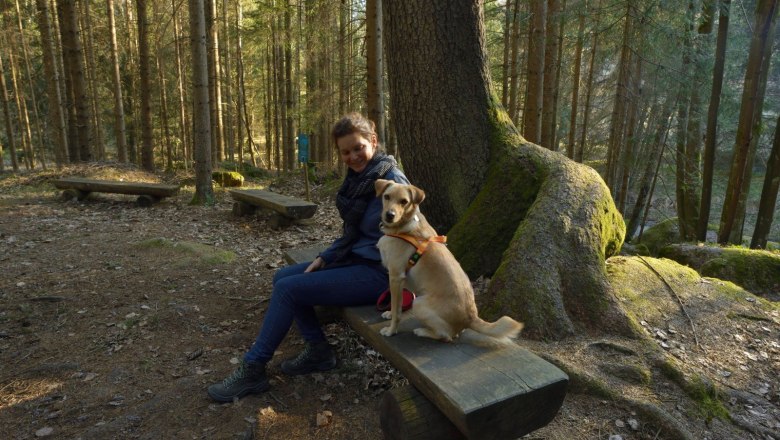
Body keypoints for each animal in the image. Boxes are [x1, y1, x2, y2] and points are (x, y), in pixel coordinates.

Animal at [374, 180, 524, 344]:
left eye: (404, 201)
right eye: (387, 197)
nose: (389, 215)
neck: (403, 226)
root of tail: (471, 318)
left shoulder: (396, 276)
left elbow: (397, 310)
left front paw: (391, 330)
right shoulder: (399, 280)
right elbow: (398, 305)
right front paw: (389, 312)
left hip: (419, 303)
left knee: (447, 336)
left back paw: (423, 331)